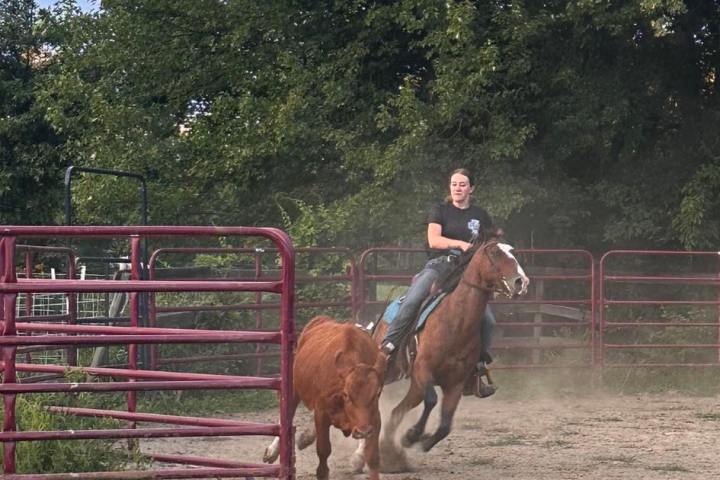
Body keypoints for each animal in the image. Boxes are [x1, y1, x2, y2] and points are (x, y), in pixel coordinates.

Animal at [352, 239, 529, 472]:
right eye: (494, 253)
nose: (521, 281)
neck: (455, 322)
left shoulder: (456, 383)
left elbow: (445, 424)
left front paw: (420, 441)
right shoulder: (423, 370)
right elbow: (432, 400)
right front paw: (412, 435)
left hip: (414, 387)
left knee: (396, 412)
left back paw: (388, 453)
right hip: (388, 373)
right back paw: (360, 457)